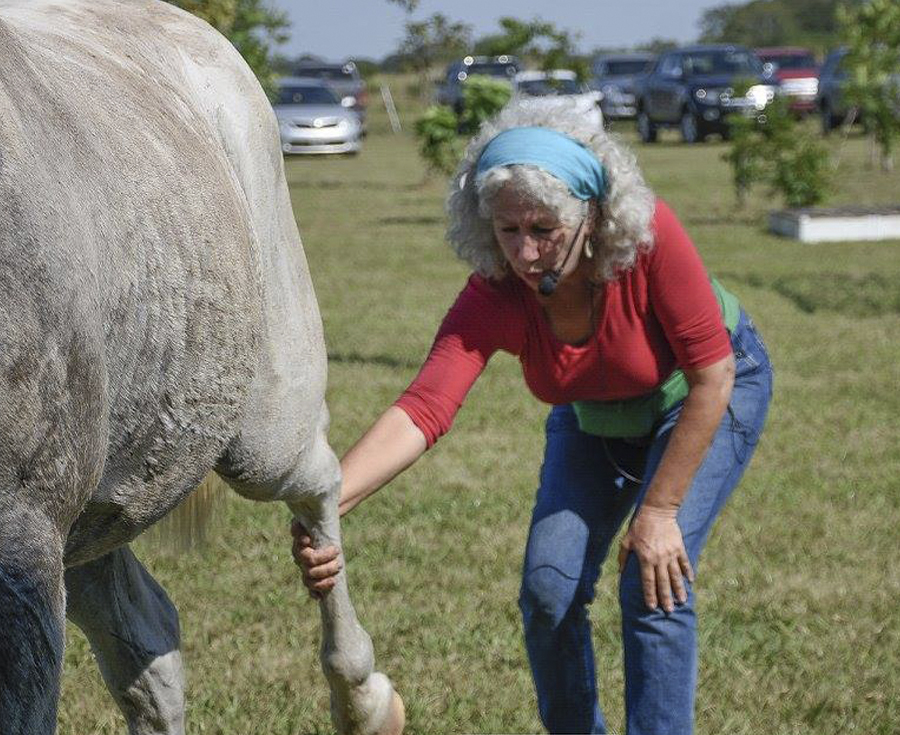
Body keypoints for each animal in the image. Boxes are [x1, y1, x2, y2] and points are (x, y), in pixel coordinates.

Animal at [0, 1, 404, 735]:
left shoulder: (21, 554)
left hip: (262, 434)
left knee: (320, 483)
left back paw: (364, 700)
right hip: (93, 511)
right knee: (149, 642)